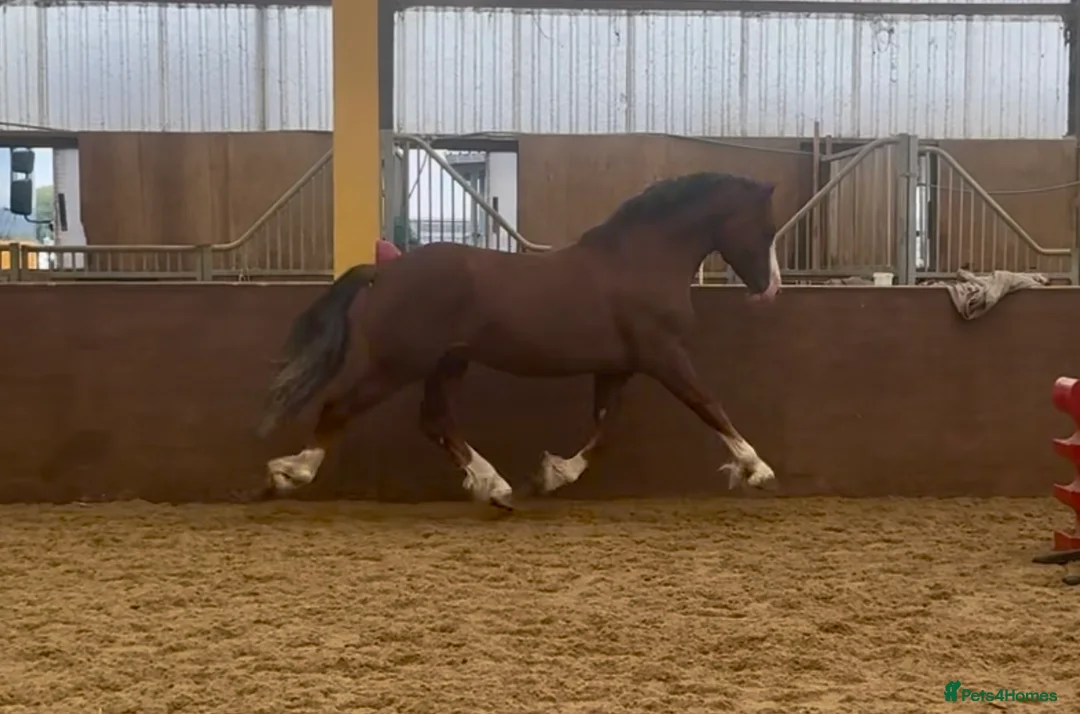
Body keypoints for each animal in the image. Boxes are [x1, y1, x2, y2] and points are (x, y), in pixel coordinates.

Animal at [258, 172, 782, 510]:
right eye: (767, 227)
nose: (771, 289)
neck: (640, 259)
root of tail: (384, 272)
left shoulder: (617, 367)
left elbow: (603, 431)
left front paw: (553, 475)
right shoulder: (664, 356)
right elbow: (708, 405)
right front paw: (756, 470)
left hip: (447, 363)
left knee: (435, 420)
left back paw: (495, 486)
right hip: (400, 364)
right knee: (339, 408)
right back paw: (290, 475)